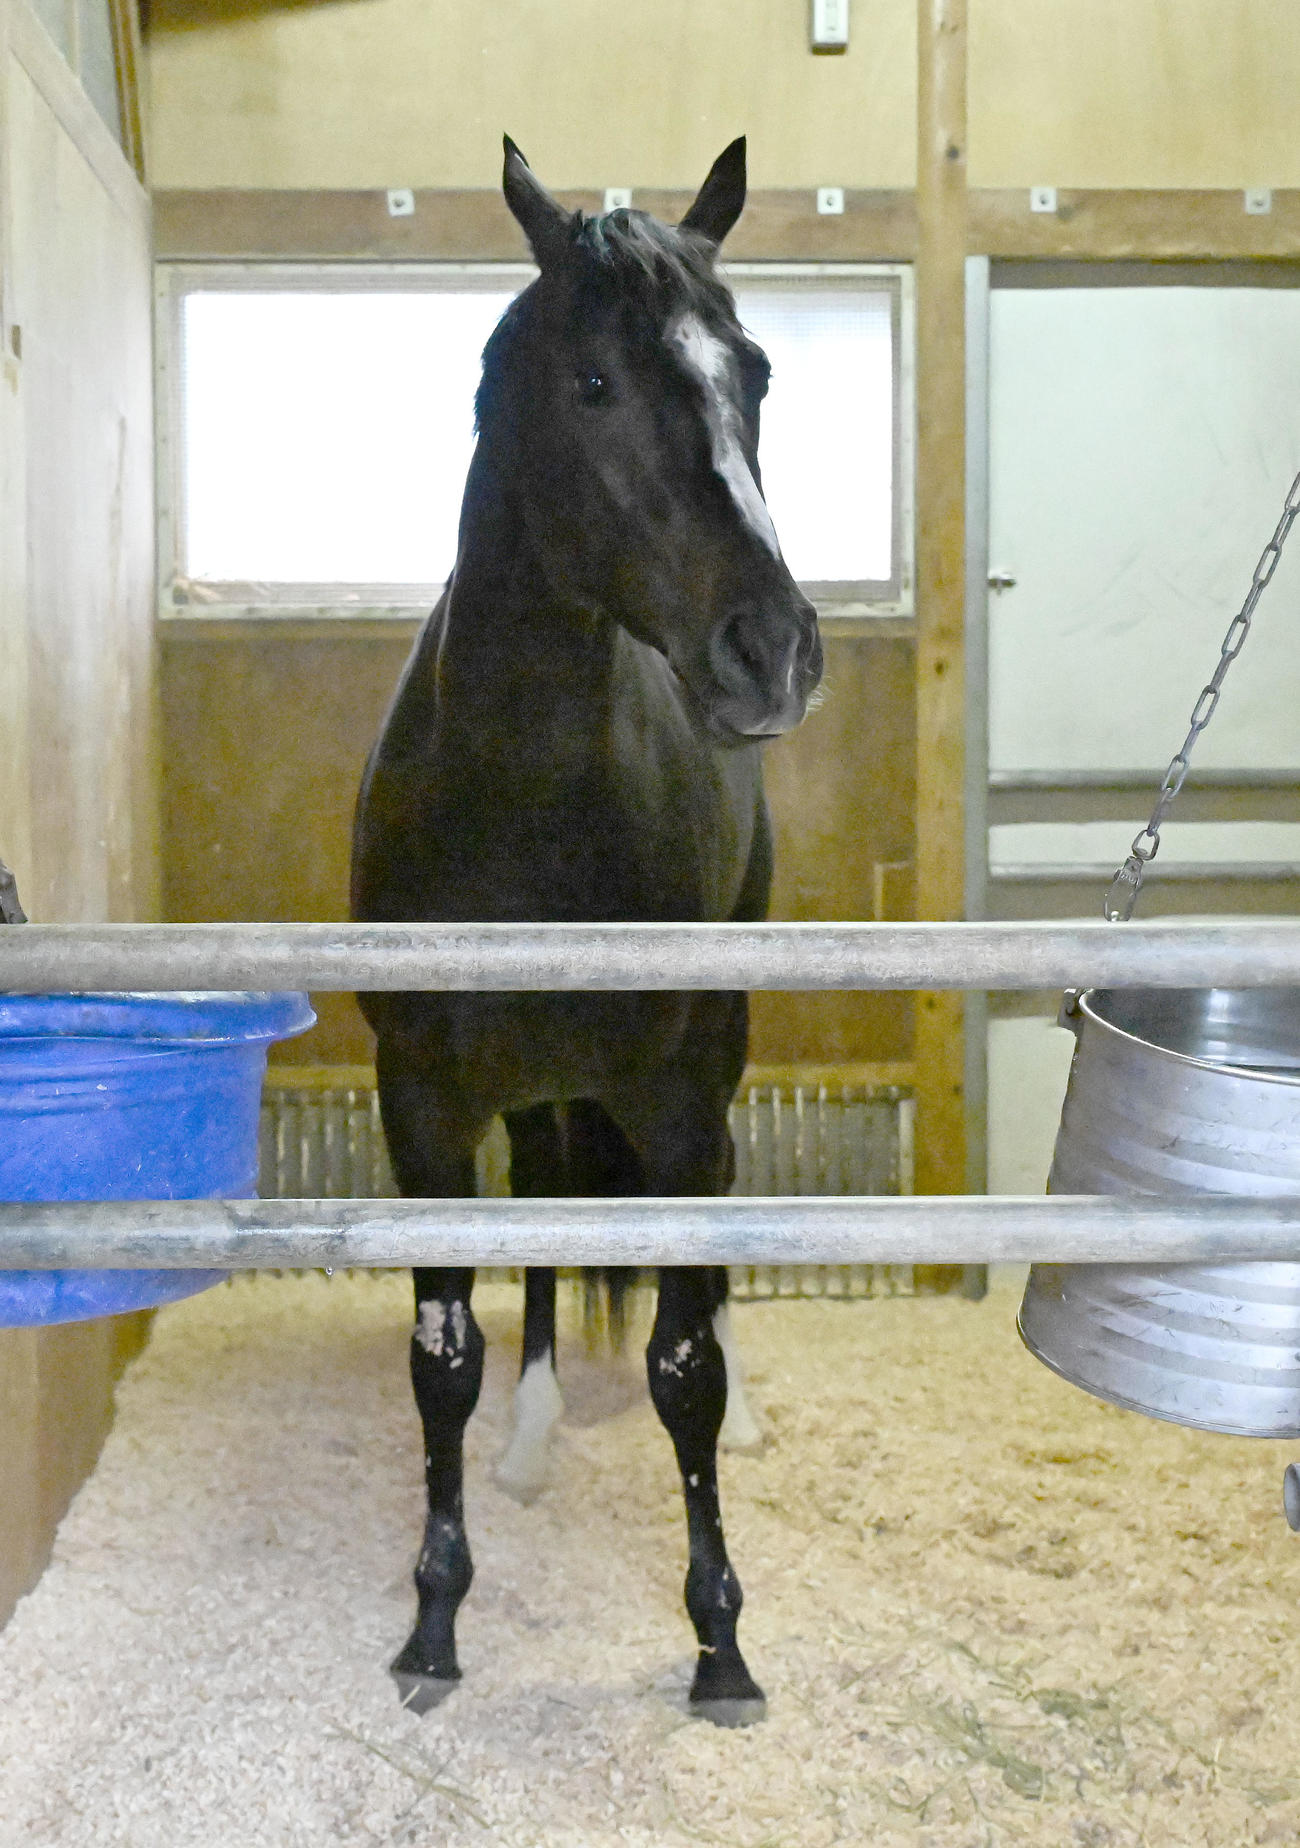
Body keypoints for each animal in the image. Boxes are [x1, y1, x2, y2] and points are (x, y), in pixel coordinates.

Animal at [351, 133, 822, 1727]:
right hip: (536, 1101)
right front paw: (435, 1622)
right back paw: (533, 1436)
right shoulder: (427, 1107)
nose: (773, 648)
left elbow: (684, 1366)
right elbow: (441, 1356)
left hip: (700, 1086)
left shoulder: (675, 1105)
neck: (524, 819)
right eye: (597, 383)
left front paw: (722, 1641)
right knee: (551, 1239)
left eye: (755, 372)